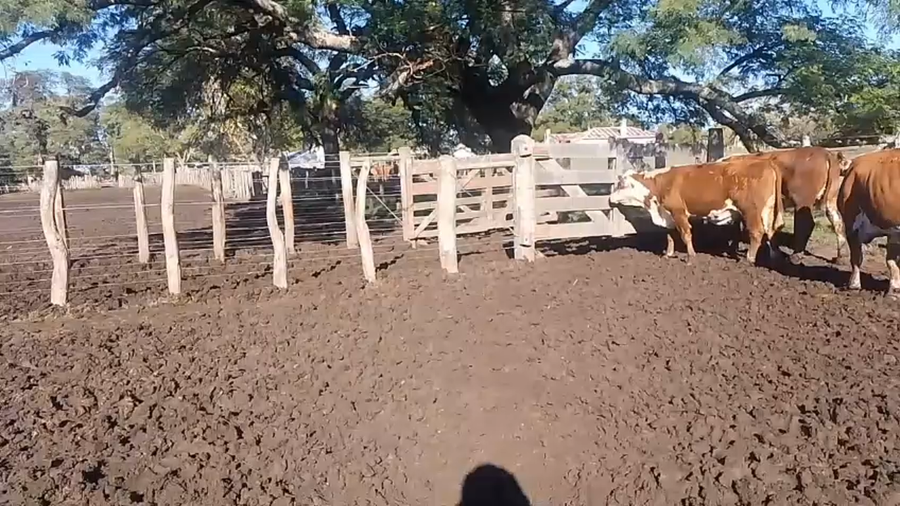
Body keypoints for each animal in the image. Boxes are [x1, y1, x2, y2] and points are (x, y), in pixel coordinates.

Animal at [608, 157, 784, 264]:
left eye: (621, 185)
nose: (609, 199)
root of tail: (765, 162)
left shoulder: (679, 212)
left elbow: (685, 234)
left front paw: (690, 258)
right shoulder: (669, 215)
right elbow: (670, 236)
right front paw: (668, 254)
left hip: (751, 211)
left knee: (757, 233)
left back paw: (749, 258)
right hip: (767, 211)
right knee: (770, 232)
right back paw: (773, 257)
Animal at [720, 147, 849, 263]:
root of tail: (825, 153)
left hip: (802, 201)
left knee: (806, 224)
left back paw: (795, 256)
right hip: (831, 199)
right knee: (837, 221)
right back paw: (841, 257)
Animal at [838, 149, 900, 298]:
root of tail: (853, 163)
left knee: (891, 260)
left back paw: (894, 289)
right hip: (852, 220)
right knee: (856, 256)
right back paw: (854, 285)